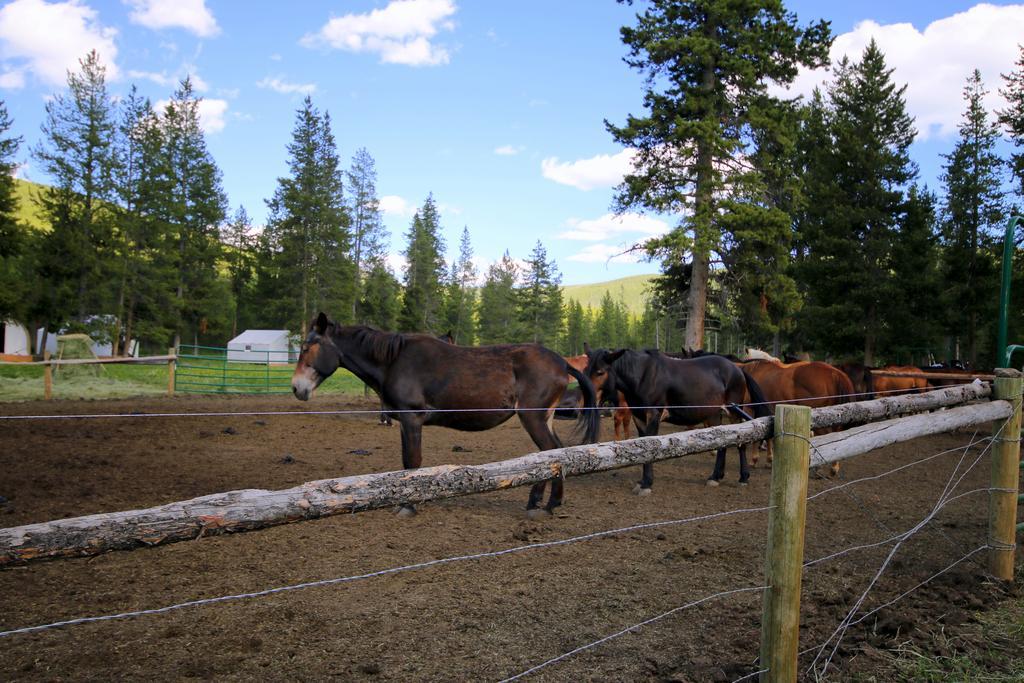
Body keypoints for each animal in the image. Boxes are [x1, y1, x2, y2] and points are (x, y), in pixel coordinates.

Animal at [292, 315, 598, 518]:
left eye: (307, 348)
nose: (297, 387)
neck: (395, 361)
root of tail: (563, 363)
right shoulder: (404, 422)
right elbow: (406, 464)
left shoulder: (412, 419)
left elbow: (412, 462)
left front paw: (408, 505)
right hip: (543, 419)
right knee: (553, 453)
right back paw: (542, 502)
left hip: (533, 418)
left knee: (550, 454)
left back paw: (546, 505)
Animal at [585, 350, 770, 489]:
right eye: (586, 370)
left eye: (600, 372)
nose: (589, 399)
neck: (643, 376)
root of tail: (739, 370)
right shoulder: (639, 417)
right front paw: (643, 481)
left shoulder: (653, 415)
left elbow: (650, 447)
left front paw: (647, 483)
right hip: (714, 414)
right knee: (722, 442)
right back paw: (715, 476)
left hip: (734, 412)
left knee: (741, 443)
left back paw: (743, 477)